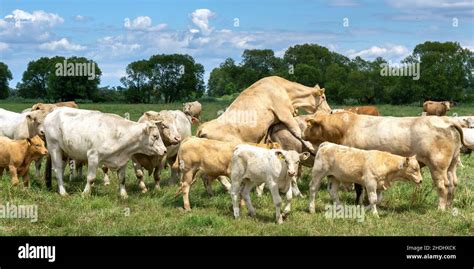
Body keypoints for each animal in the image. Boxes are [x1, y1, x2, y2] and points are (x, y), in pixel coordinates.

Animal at [196, 75, 330, 153]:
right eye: (323, 97)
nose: (330, 111)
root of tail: (202, 129)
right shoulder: (285, 114)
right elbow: (298, 131)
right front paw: (311, 146)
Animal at [304, 111, 466, 209]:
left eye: (309, 125)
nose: (303, 133)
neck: (346, 127)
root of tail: (447, 121)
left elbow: (359, 187)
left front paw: (358, 203)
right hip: (452, 164)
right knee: (453, 184)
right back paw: (449, 206)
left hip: (438, 166)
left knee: (443, 186)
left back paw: (441, 208)